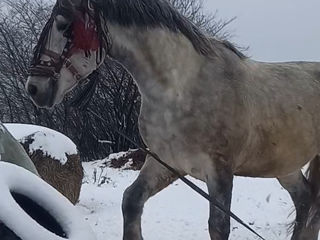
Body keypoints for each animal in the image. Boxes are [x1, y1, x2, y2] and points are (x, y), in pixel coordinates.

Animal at [25, 0, 320, 239]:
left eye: (64, 25)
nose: (34, 88)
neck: (181, 87)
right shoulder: (166, 162)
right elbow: (131, 201)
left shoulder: (220, 171)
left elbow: (218, 226)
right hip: (285, 166)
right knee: (305, 203)